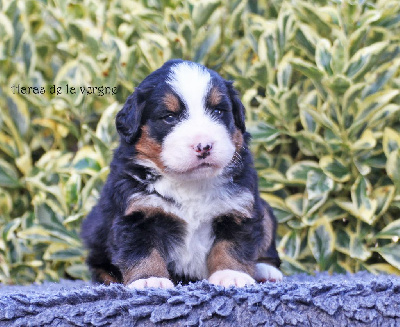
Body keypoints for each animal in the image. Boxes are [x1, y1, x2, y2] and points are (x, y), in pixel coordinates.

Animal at [80, 59, 282, 290]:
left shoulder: (239, 208)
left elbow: (233, 245)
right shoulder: (136, 212)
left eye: (218, 111)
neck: (190, 183)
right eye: (169, 117)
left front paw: (231, 275)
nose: (204, 146)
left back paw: (265, 270)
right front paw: (149, 279)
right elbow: (142, 250)